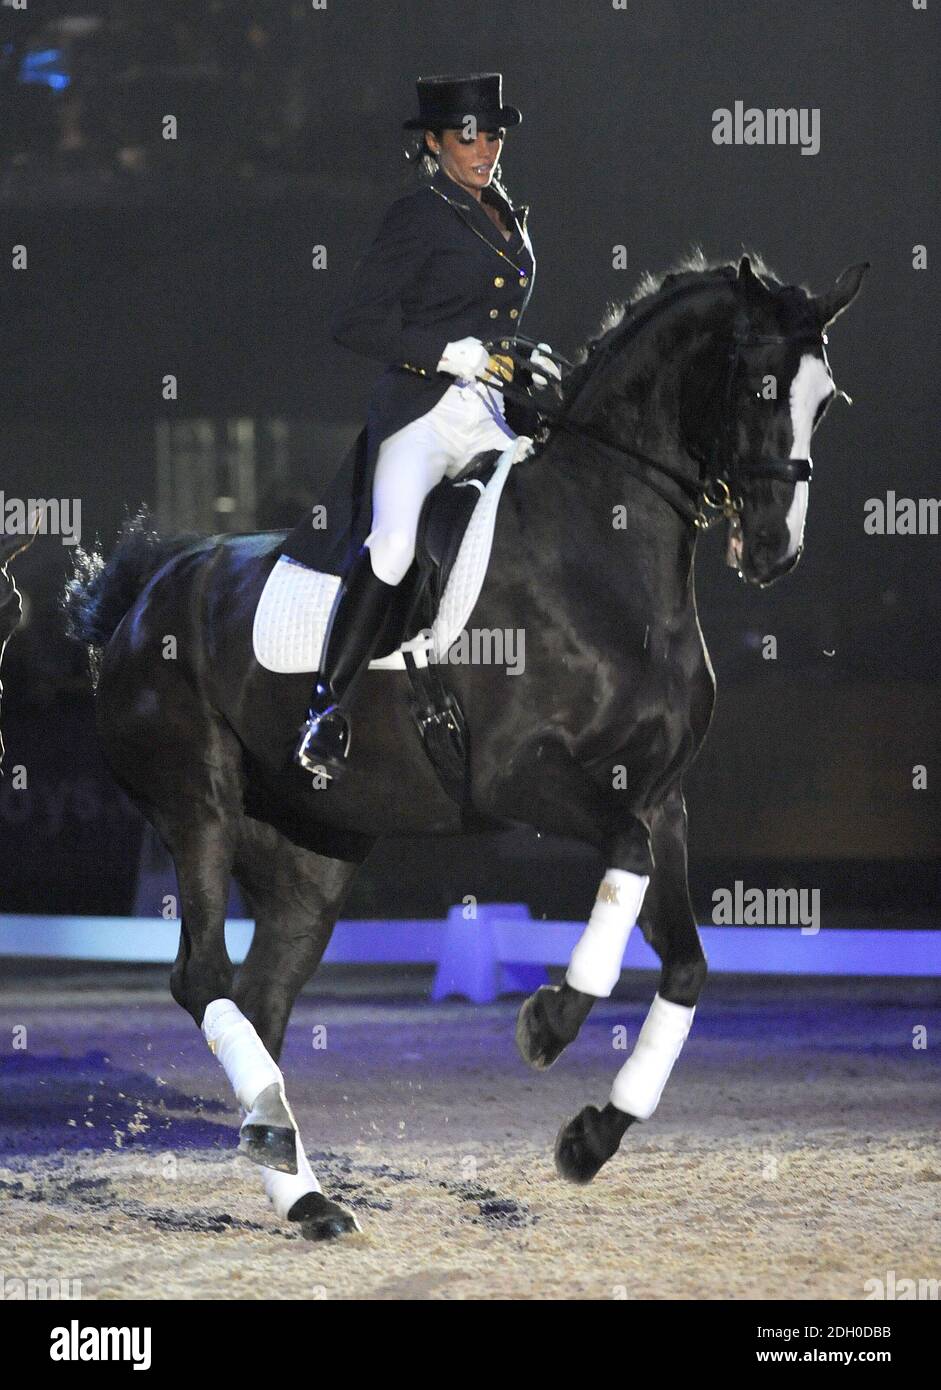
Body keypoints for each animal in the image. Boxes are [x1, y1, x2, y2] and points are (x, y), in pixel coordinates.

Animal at [62, 254, 868, 1241]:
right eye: (758, 385)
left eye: (824, 401)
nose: (773, 547)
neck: (601, 548)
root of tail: (142, 595)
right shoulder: (522, 776)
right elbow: (625, 861)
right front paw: (551, 1020)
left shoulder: (658, 796)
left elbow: (685, 964)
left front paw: (591, 1137)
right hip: (197, 806)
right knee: (201, 975)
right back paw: (292, 1169)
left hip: (312, 855)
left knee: (259, 998)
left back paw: (301, 1189)